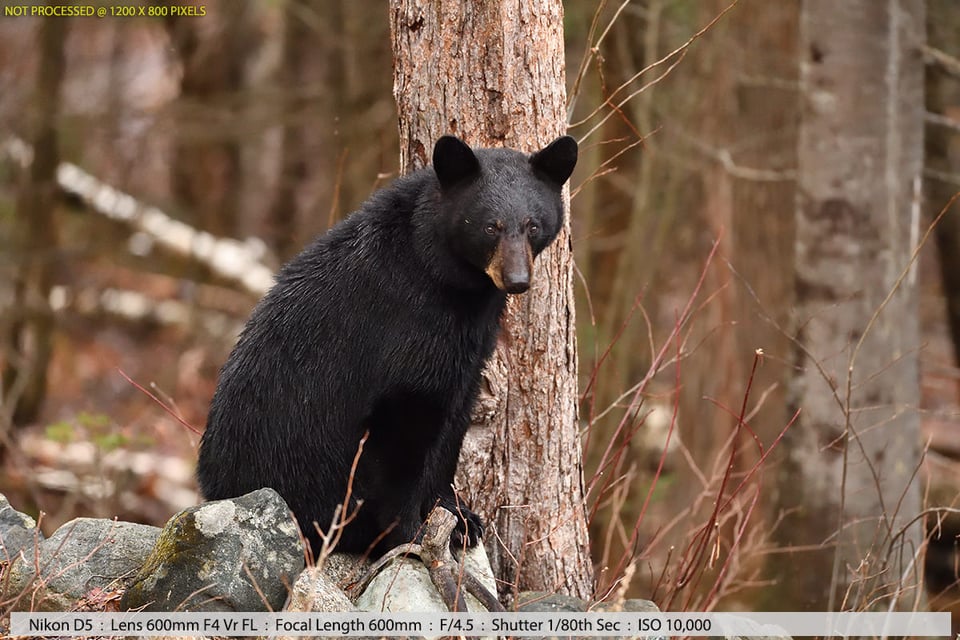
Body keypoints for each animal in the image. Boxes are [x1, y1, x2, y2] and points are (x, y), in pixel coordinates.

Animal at [191, 134, 572, 556]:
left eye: (533, 224)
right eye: (491, 227)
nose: (517, 279)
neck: (445, 275)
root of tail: (215, 488)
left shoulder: (469, 346)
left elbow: (454, 421)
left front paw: (460, 518)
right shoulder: (409, 330)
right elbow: (403, 428)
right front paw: (411, 534)